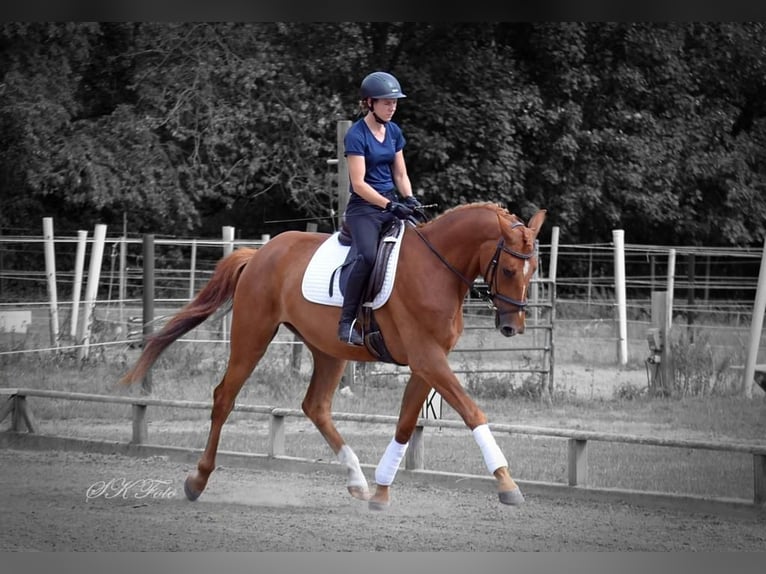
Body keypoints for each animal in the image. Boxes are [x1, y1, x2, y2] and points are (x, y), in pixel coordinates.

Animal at [119, 202, 547, 510]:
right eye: (510, 270)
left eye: (533, 271)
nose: (513, 327)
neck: (436, 269)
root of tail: (260, 253)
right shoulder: (428, 359)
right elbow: (473, 412)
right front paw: (507, 484)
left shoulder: (426, 362)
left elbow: (405, 425)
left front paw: (381, 493)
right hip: (252, 334)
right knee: (225, 397)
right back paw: (197, 480)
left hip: (328, 350)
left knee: (315, 406)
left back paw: (357, 480)